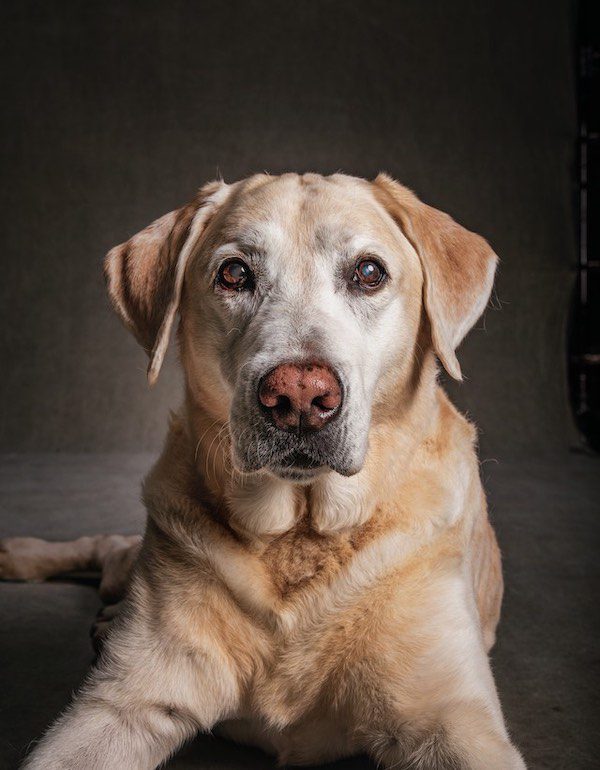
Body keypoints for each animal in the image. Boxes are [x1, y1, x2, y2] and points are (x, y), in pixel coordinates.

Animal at [0, 171, 524, 764]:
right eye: (235, 273)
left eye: (368, 273)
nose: (299, 396)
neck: (298, 531)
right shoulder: (120, 703)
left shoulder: (452, 719)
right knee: (107, 547)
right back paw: (23, 557)